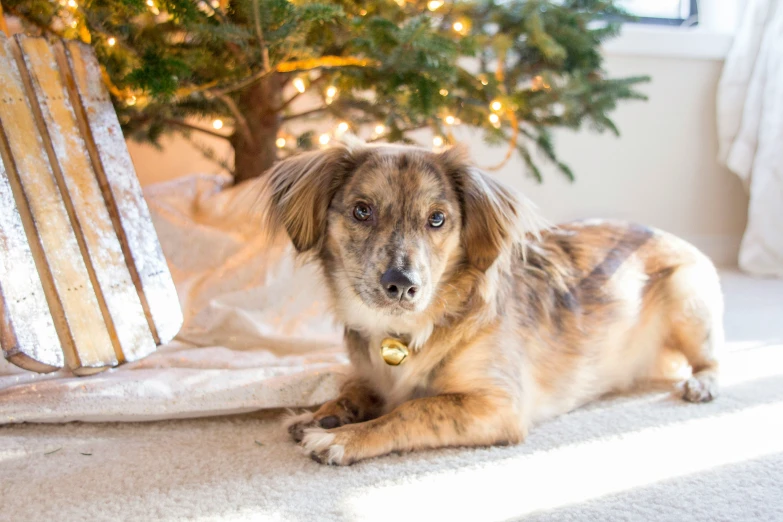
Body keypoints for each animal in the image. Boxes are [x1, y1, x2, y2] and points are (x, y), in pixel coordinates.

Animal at [260, 140, 724, 462]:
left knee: (713, 359)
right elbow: (351, 388)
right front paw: (323, 414)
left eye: (437, 219)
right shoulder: (370, 375)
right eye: (361, 211)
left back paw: (702, 383)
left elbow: (414, 410)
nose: (402, 284)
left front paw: (342, 437)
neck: (405, 333)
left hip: (688, 302)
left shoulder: (497, 406)